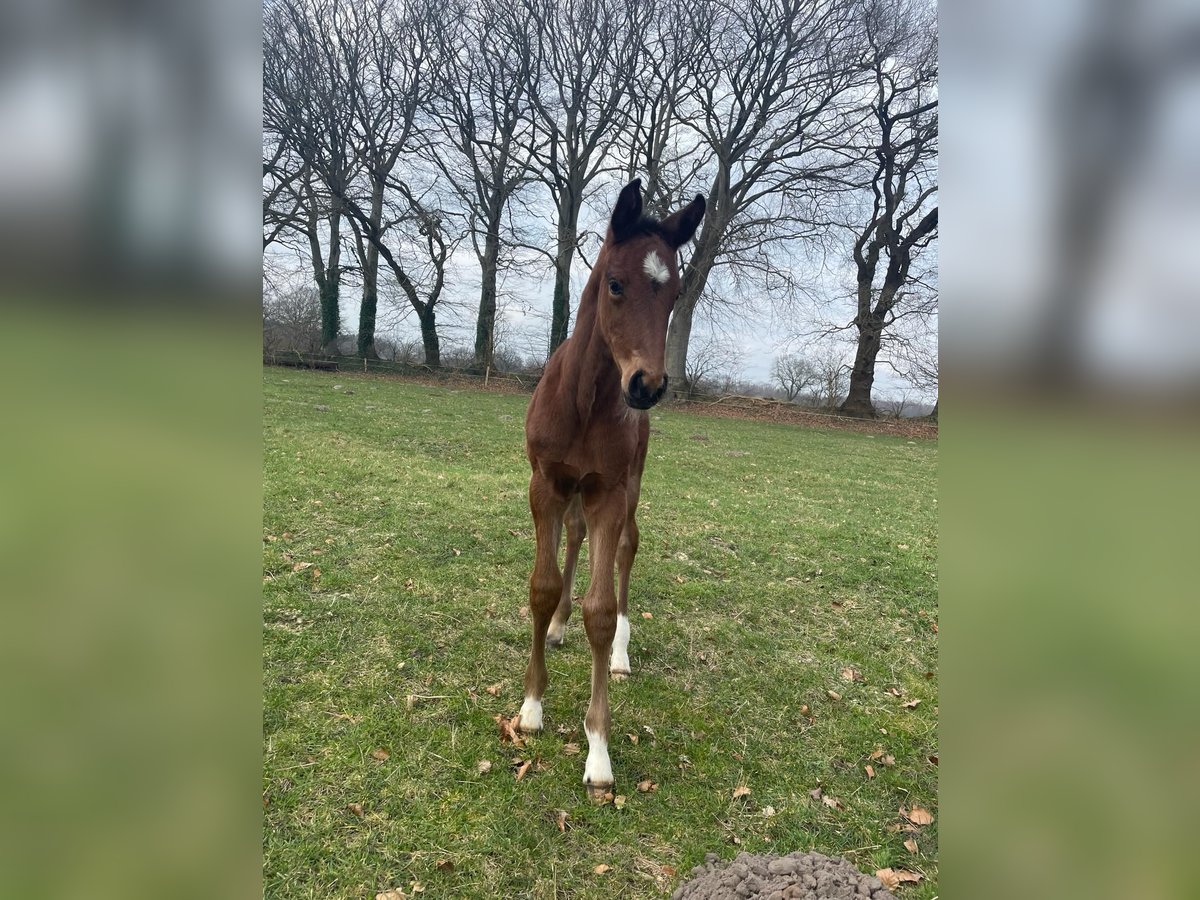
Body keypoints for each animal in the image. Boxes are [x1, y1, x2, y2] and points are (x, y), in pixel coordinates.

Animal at [516, 177, 700, 796]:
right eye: (615, 284)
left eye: (674, 295)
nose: (646, 385)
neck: (584, 403)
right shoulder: (545, 484)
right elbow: (543, 586)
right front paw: (531, 707)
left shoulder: (611, 493)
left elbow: (600, 607)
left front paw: (598, 749)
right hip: (573, 492)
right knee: (574, 537)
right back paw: (559, 626)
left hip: (632, 486)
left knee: (625, 550)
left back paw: (620, 650)